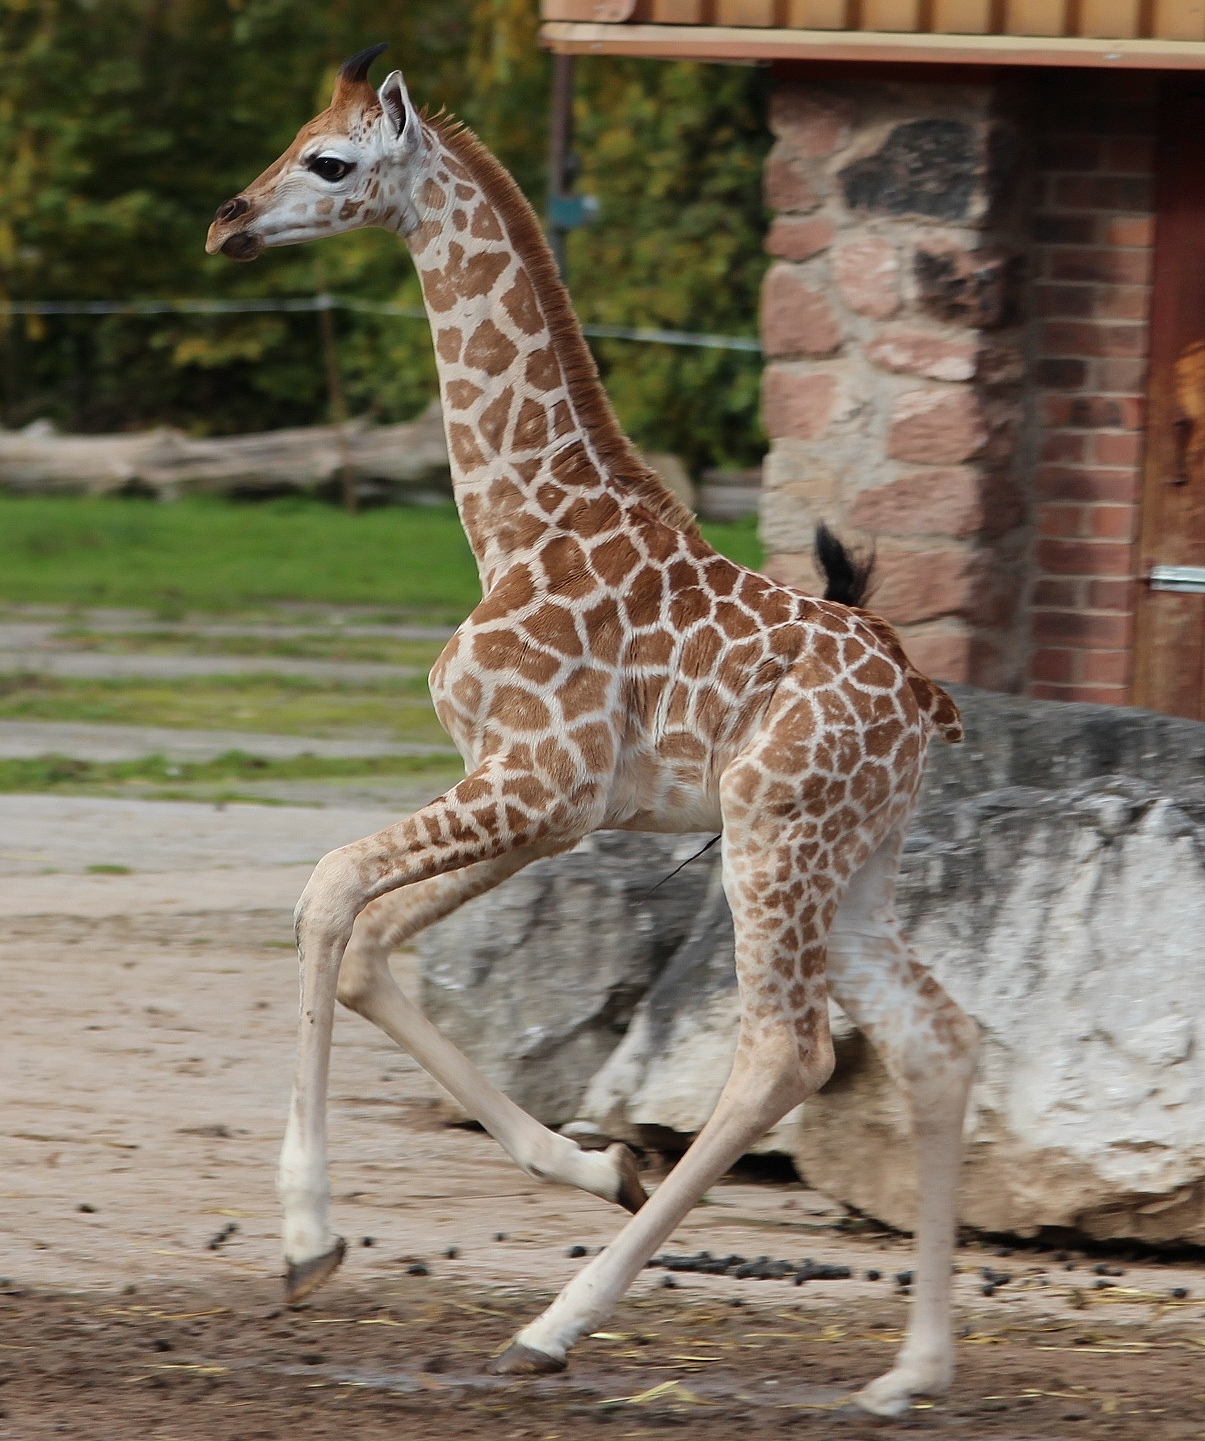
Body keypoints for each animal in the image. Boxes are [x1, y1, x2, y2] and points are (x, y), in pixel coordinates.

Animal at [206, 44, 979, 1417]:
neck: (515, 517)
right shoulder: (544, 800)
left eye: (329, 162)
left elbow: (328, 891)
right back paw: (909, 1373)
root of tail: (919, 705)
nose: (228, 221)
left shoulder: (531, 777)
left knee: (783, 1054)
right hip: (854, 860)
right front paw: (589, 1166)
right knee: (933, 1043)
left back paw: (556, 1324)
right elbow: (369, 947)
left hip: (769, 834)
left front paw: (306, 1239)